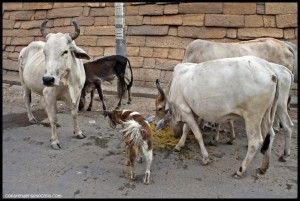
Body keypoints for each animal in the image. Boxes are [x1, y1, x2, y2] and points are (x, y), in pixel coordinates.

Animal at [18, 20, 90, 149]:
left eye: (65, 51)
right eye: (45, 52)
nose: (48, 80)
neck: (69, 80)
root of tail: (26, 48)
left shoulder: (77, 94)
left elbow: (74, 114)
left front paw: (78, 132)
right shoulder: (50, 94)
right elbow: (53, 118)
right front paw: (54, 141)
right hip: (24, 84)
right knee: (26, 99)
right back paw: (31, 118)